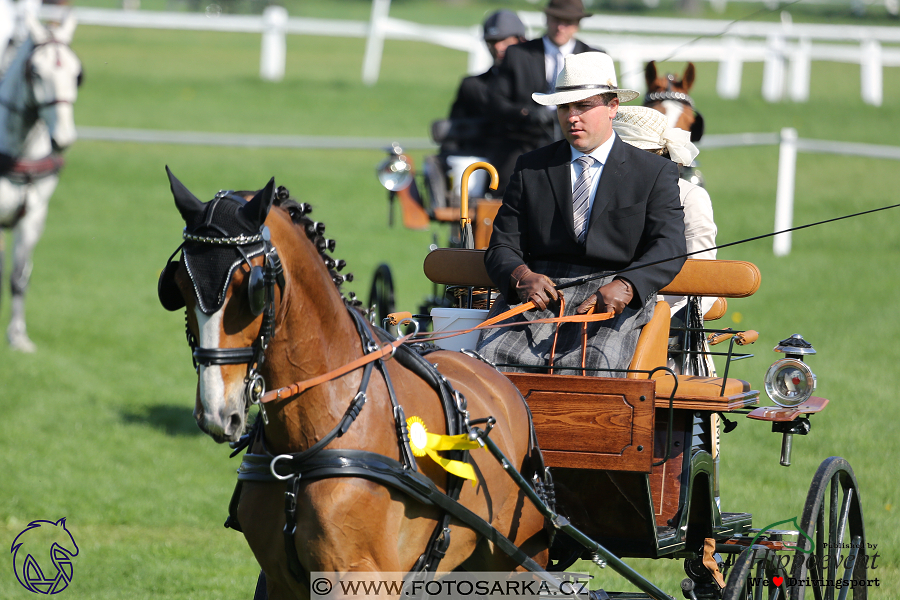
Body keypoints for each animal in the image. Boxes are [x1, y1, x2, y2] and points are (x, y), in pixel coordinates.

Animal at [157, 169, 548, 600]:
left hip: (517, 565)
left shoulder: (360, 578)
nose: (216, 410)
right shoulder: (280, 579)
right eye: (178, 285)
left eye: (253, 287)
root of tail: (497, 377)